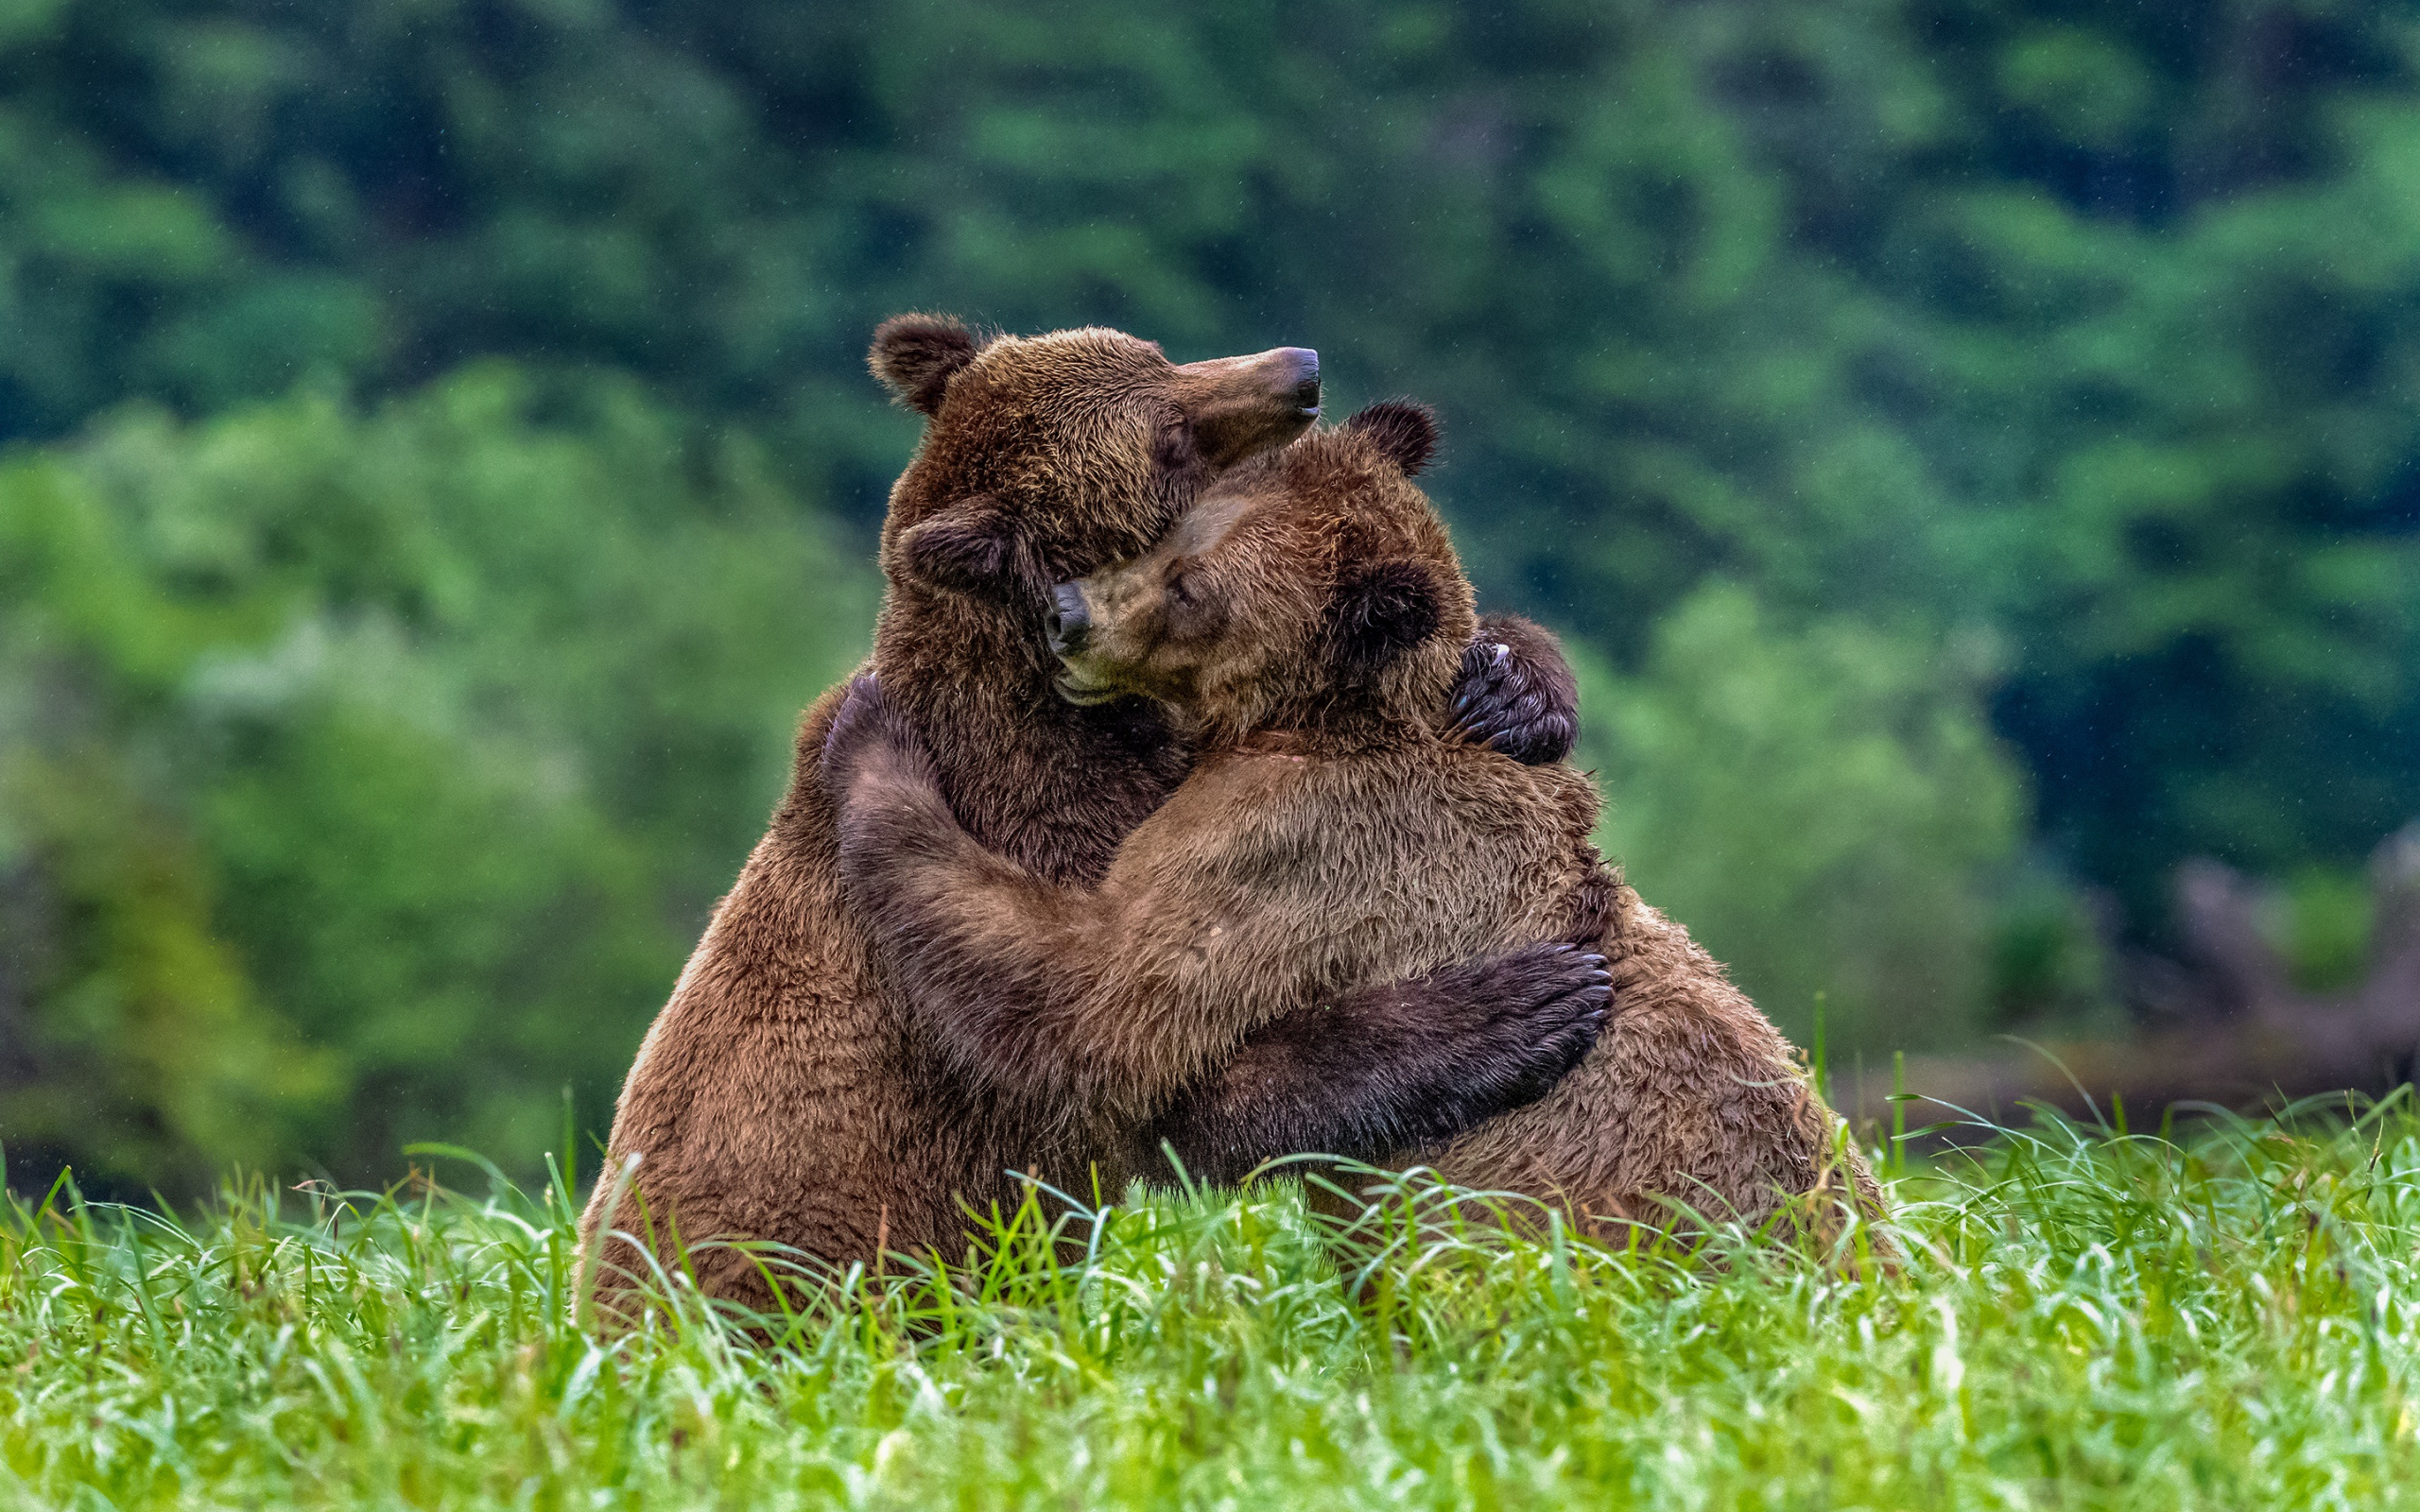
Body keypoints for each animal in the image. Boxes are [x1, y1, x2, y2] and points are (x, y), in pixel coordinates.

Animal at [576, 318, 1616, 1306]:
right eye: (1167, 438)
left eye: (1156, 353)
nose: (1300, 369)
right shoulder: (1065, 825)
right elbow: (1126, 1041)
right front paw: (1516, 1006)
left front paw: (1511, 690)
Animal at [827, 399, 1887, 1238]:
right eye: (1165, 533)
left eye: (1193, 589)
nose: (1067, 616)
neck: (1313, 714)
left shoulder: (1292, 841)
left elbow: (1098, 998)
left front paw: (870, 741)